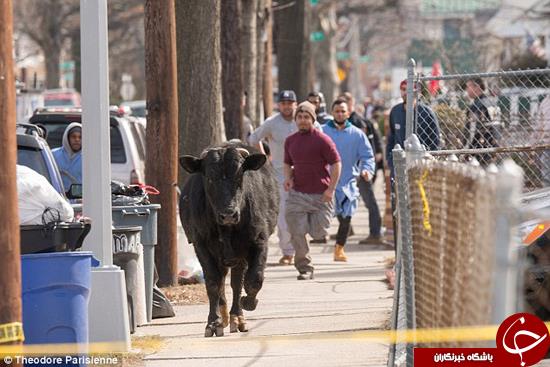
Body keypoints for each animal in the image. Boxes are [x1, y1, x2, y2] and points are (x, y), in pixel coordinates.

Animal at [179, 142, 278, 338]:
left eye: (239, 175)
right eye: (210, 178)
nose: (228, 215)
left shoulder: (259, 241)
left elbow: (254, 279)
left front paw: (248, 302)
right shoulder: (201, 245)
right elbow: (213, 282)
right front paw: (213, 322)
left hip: (238, 256)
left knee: (236, 282)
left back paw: (236, 318)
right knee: (222, 281)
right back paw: (225, 317)